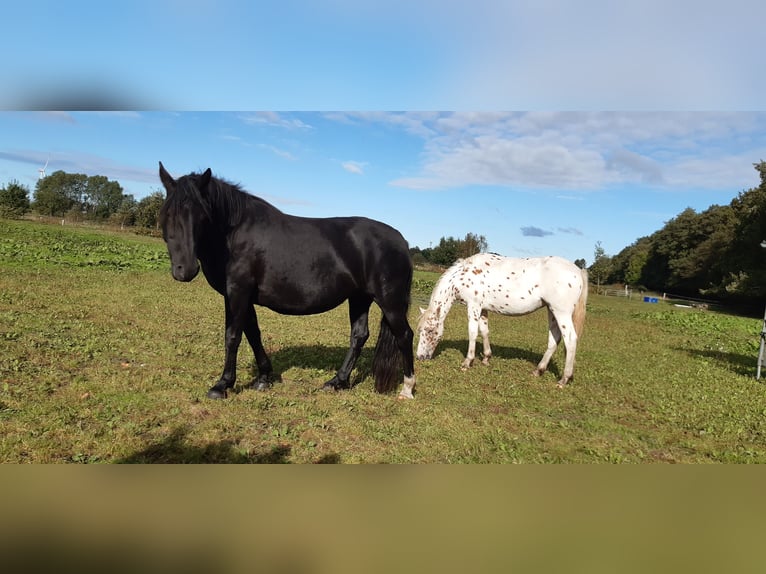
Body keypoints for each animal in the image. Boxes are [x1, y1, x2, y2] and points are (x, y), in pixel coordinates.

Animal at [158, 163, 416, 400]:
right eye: (167, 215)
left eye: (202, 216)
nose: (185, 270)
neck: (234, 235)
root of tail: (401, 241)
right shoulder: (242, 296)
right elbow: (253, 333)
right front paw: (263, 377)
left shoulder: (237, 292)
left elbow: (232, 336)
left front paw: (222, 385)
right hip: (359, 297)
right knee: (359, 335)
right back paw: (337, 381)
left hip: (389, 301)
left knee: (404, 335)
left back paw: (407, 388)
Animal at [420, 254, 588, 390]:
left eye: (429, 331)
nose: (420, 357)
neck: (464, 274)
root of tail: (578, 271)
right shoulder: (482, 309)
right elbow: (484, 331)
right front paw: (486, 358)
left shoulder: (473, 305)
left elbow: (472, 332)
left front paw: (468, 362)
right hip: (551, 310)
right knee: (554, 339)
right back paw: (538, 370)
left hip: (561, 312)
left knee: (570, 339)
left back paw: (564, 379)